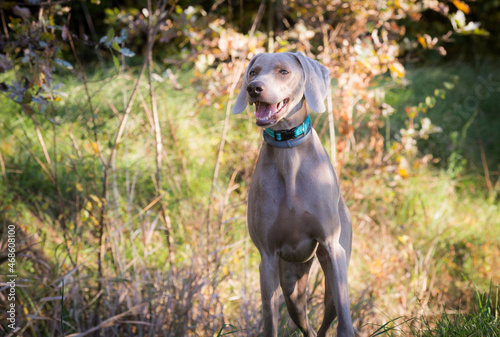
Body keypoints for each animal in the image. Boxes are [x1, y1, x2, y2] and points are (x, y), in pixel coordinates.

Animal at [232, 51, 354, 334]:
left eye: (283, 71)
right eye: (253, 72)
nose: (253, 88)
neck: (288, 150)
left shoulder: (332, 246)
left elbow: (345, 321)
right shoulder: (266, 258)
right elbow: (270, 320)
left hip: (332, 271)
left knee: (329, 315)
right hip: (291, 285)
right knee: (307, 325)